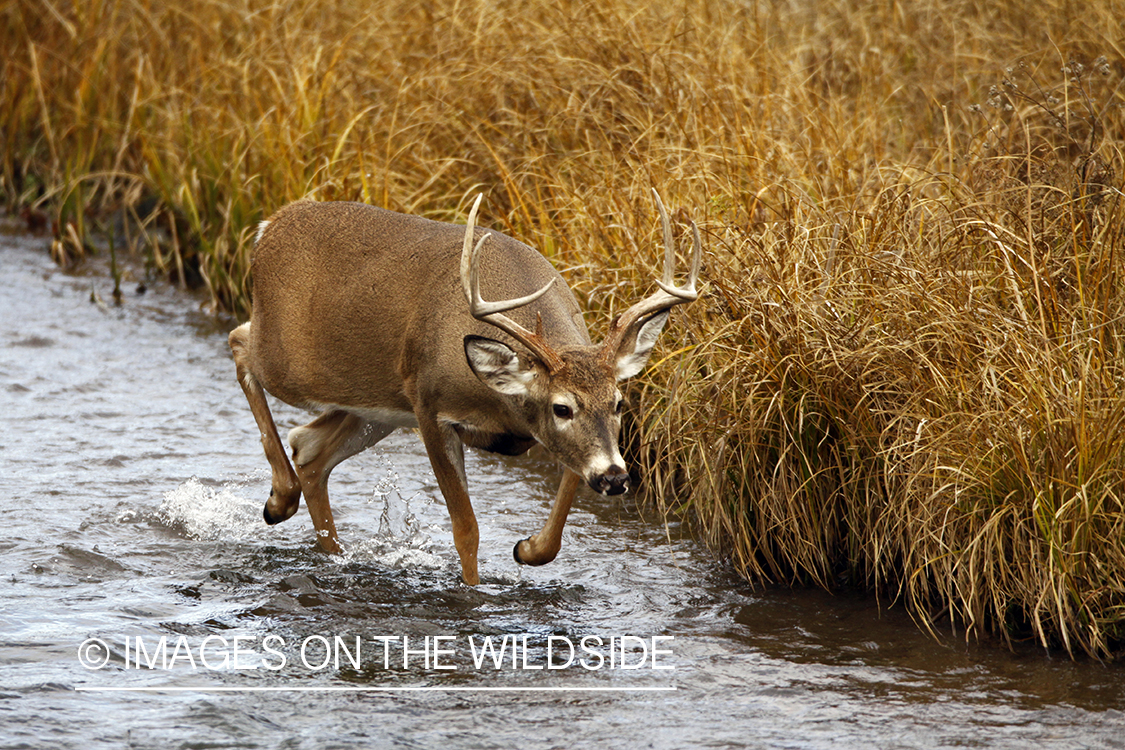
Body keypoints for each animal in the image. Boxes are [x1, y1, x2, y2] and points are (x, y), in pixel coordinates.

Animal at [226, 188, 702, 584]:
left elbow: (567, 488)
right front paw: (473, 593)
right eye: (562, 407)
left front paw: (527, 548)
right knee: (239, 342)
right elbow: (466, 528)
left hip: (377, 404)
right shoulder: (430, 407)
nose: (616, 477)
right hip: (292, 361)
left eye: (619, 403)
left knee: (309, 448)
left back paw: (328, 548)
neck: (501, 408)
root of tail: (271, 224)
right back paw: (280, 500)